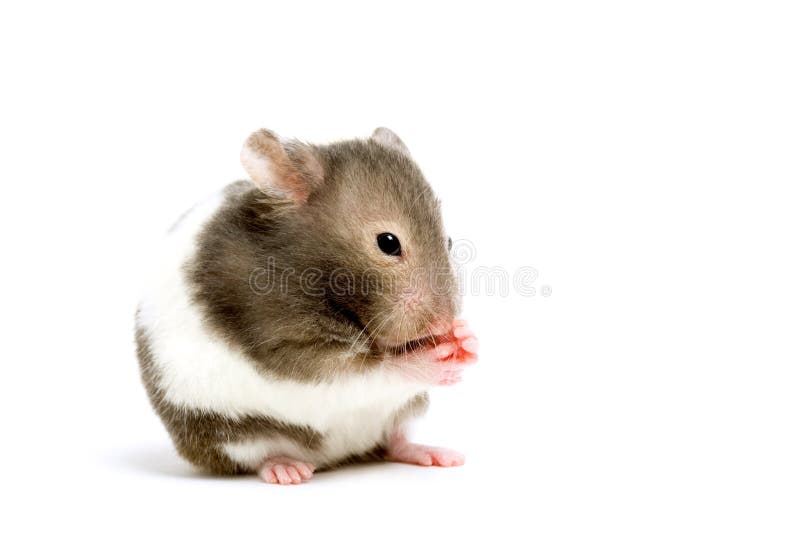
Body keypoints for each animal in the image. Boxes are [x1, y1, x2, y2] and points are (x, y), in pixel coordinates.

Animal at [135, 127, 479, 484]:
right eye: (388, 243)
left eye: (449, 241)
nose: (444, 322)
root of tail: (338, 453)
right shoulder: (288, 347)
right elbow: (371, 370)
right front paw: (436, 357)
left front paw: (466, 340)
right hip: (226, 431)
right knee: (259, 454)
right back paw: (288, 471)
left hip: (404, 412)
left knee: (395, 440)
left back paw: (439, 455)